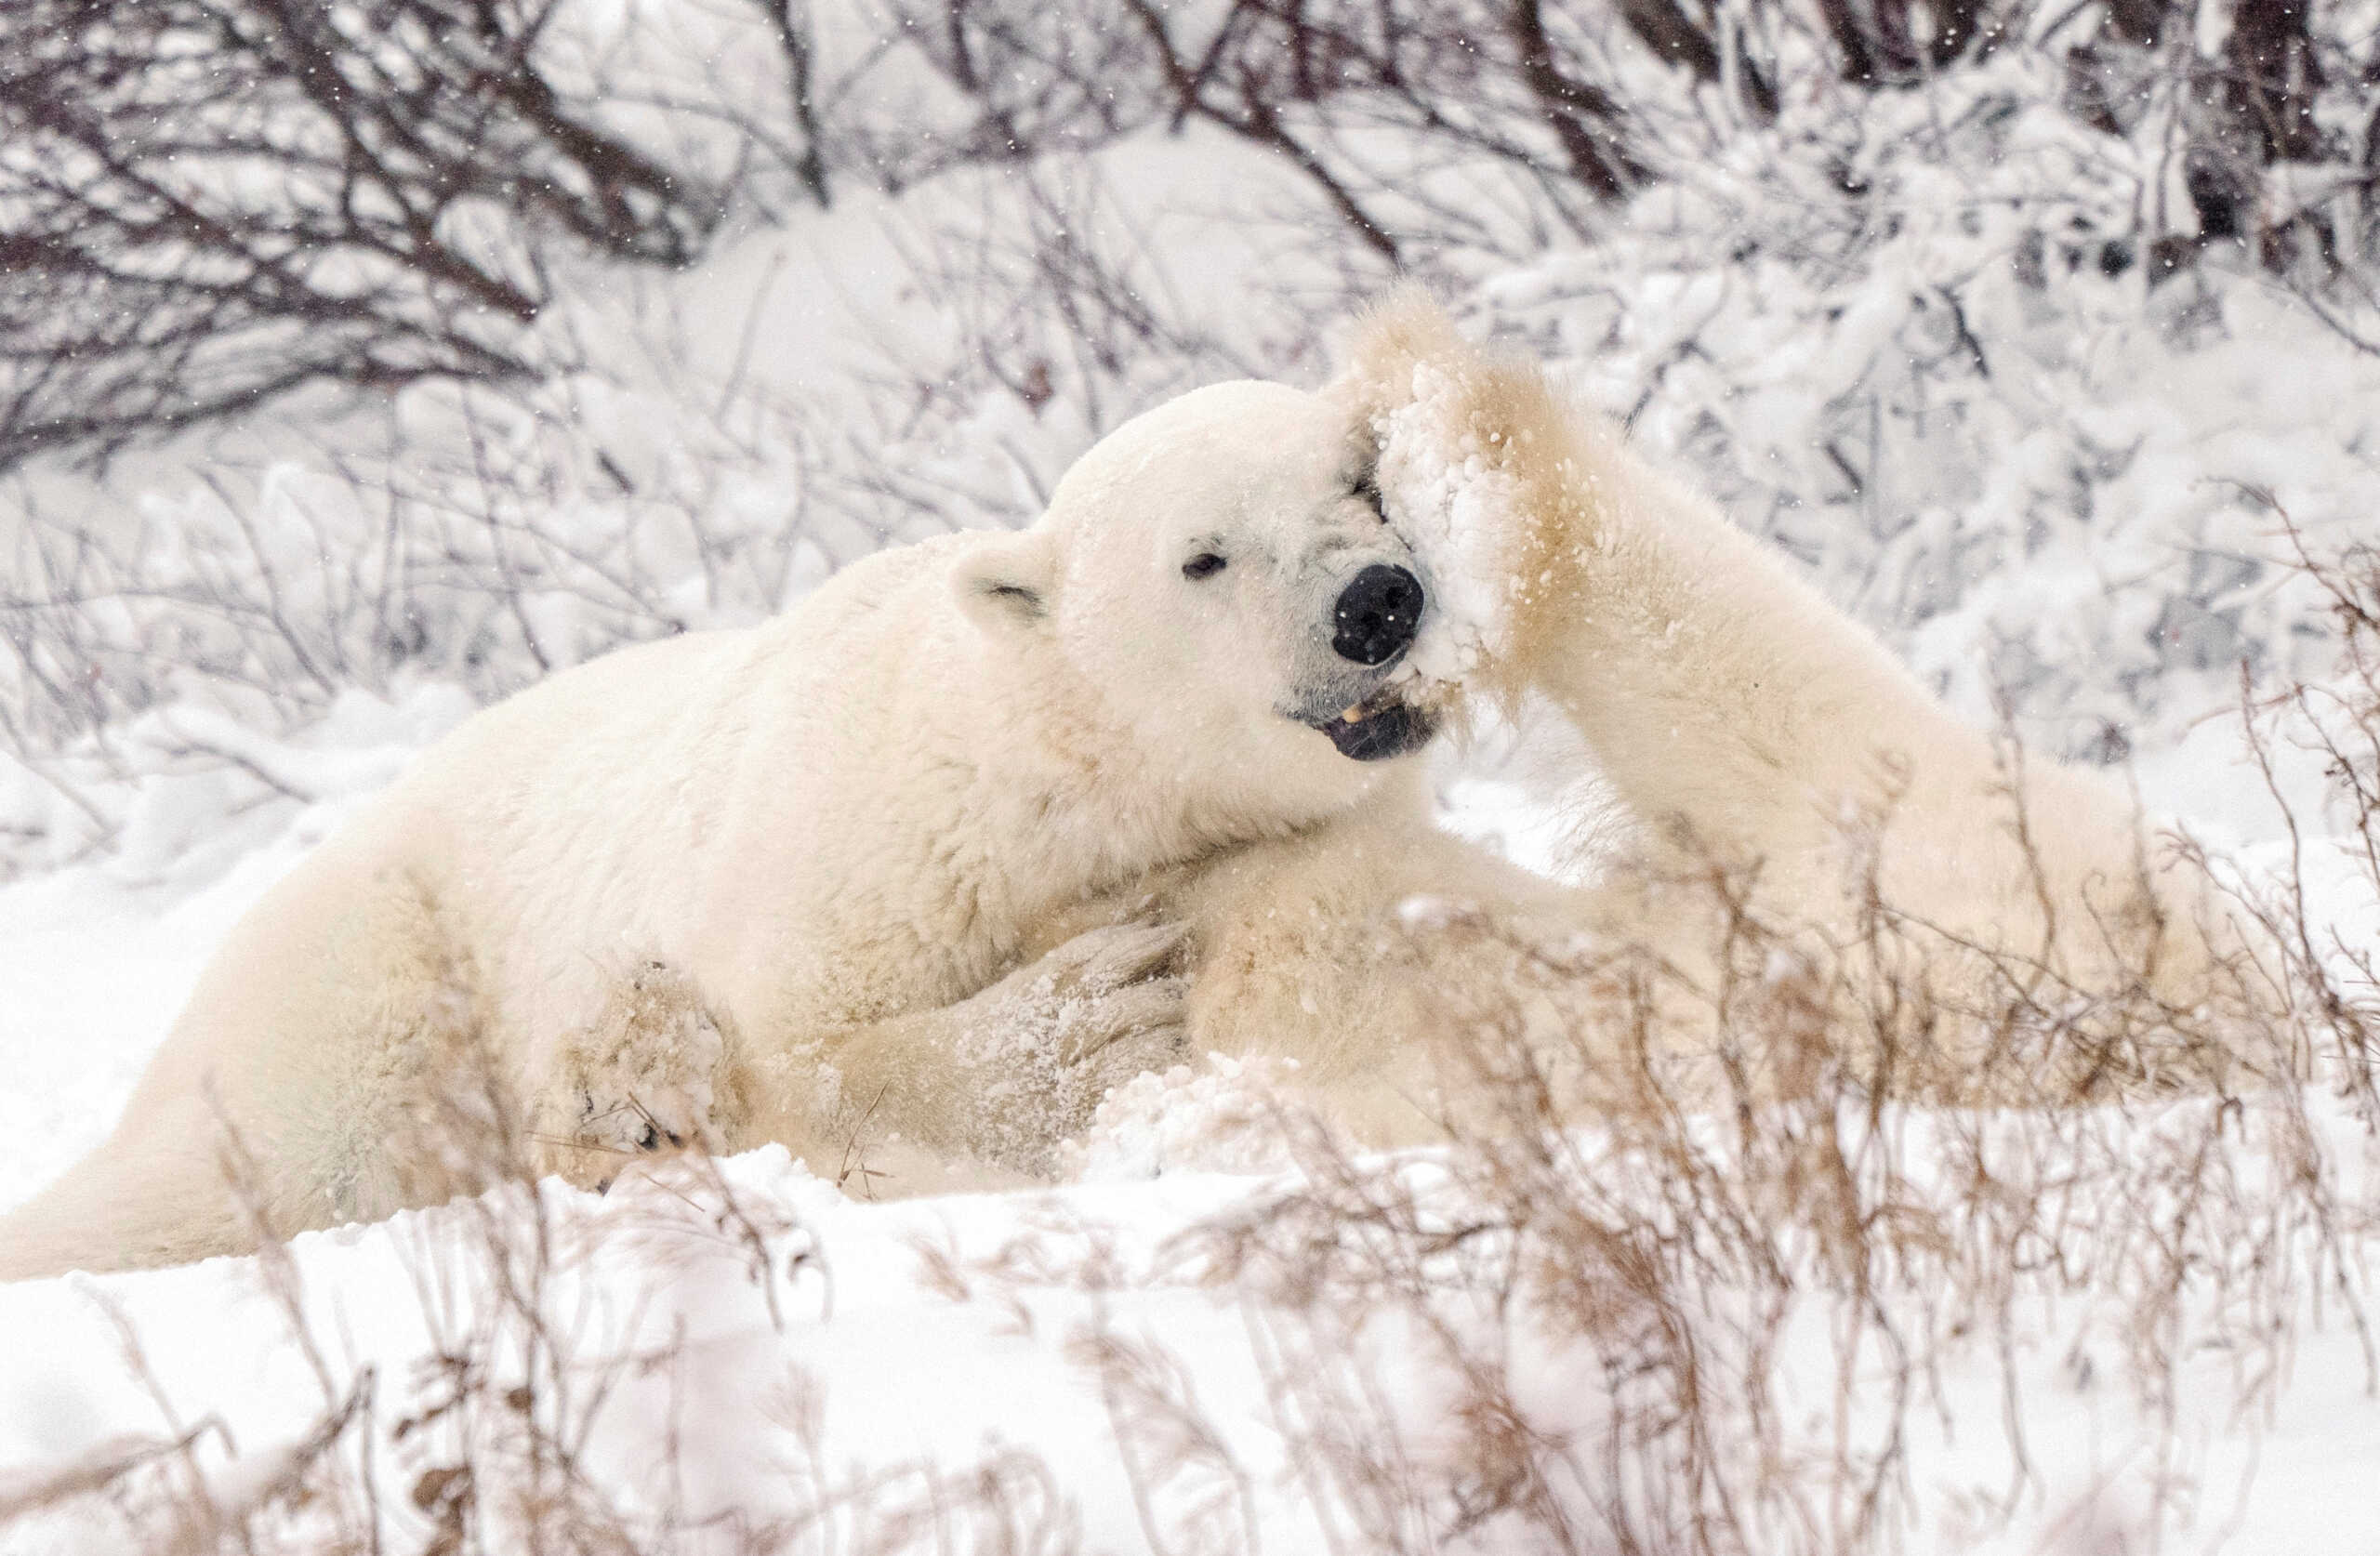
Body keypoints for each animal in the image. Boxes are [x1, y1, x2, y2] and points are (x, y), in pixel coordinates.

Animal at [0, 296, 2266, 1285]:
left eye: (1339, 498)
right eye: (1204, 552)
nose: (1381, 592)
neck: (1073, 792)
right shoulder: (858, 838)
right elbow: (815, 1037)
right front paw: (1065, 1019)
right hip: (383, 943)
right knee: (268, 1147)